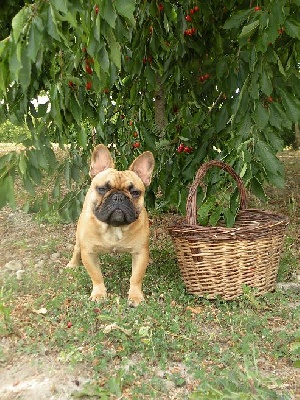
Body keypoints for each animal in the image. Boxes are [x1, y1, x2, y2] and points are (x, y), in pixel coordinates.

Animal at [67, 144, 155, 306]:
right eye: (102, 189)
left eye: (135, 192)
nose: (118, 197)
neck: (114, 227)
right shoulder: (89, 253)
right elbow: (96, 275)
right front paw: (99, 293)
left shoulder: (140, 253)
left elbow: (136, 277)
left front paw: (135, 296)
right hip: (79, 237)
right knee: (76, 248)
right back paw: (73, 264)